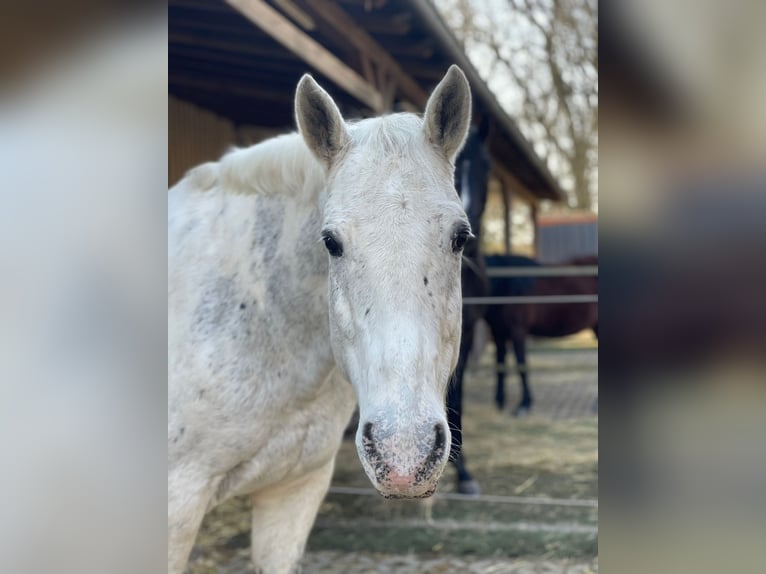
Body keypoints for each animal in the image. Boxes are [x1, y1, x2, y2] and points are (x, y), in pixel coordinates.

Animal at [485, 254, 598, 416]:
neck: (506, 285)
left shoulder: (517, 332)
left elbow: (522, 366)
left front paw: (524, 404)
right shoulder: (498, 333)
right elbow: (500, 366)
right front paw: (500, 401)